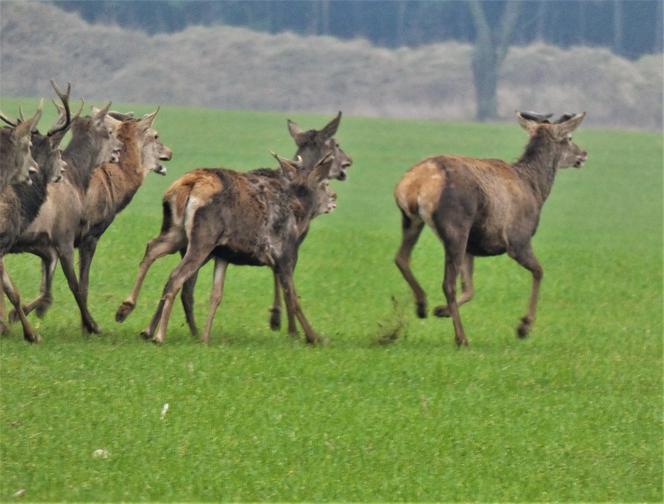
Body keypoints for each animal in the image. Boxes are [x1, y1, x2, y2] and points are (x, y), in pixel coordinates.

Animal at [115, 152, 338, 344]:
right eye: (325, 183)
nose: (334, 197)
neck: (300, 213)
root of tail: (189, 184)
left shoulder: (224, 255)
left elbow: (216, 294)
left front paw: (205, 338)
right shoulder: (285, 254)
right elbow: (293, 297)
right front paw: (313, 337)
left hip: (177, 234)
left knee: (152, 250)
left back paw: (131, 313)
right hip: (202, 240)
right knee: (176, 276)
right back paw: (159, 334)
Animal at [394, 111, 588, 346]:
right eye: (569, 137)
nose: (583, 154)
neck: (536, 189)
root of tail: (415, 184)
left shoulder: (472, 246)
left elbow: (470, 289)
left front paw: (441, 310)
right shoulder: (518, 239)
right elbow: (539, 271)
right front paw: (523, 327)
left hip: (412, 220)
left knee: (401, 257)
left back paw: (422, 304)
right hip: (456, 226)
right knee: (447, 283)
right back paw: (461, 338)